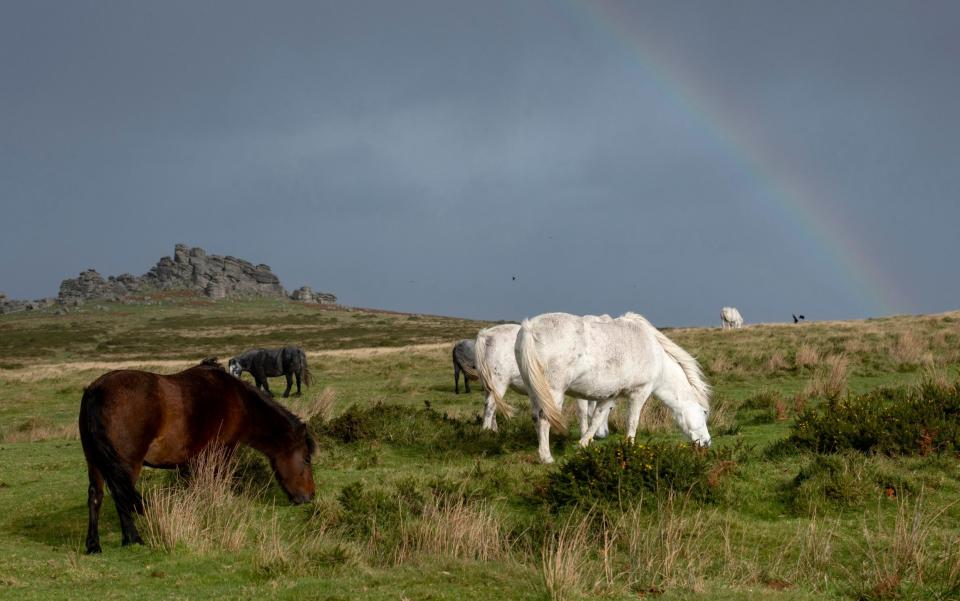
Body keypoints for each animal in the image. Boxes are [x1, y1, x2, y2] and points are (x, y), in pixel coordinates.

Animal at [79, 356, 318, 552]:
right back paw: (133, 538)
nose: (310, 497)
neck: (239, 400)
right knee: (121, 497)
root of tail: (96, 391)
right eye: (306, 459)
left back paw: (94, 545)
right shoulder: (222, 452)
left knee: (96, 496)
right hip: (127, 464)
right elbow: (215, 483)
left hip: (95, 462)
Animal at [472, 324, 608, 436]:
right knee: (490, 406)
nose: (604, 435)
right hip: (499, 382)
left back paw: (494, 430)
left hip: (489, 386)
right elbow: (583, 412)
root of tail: (487, 334)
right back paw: (486, 432)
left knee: (491, 405)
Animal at [512, 312, 708, 462]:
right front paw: (630, 448)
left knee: (536, 417)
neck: (653, 353)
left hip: (534, 391)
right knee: (544, 419)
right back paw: (546, 457)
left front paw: (583, 444)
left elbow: (597, 418)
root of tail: (530, 328)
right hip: (553, 392)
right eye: (705, 413)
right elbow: (632, 421)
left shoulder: (610, 396)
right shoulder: (640, 392)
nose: (707, 442)